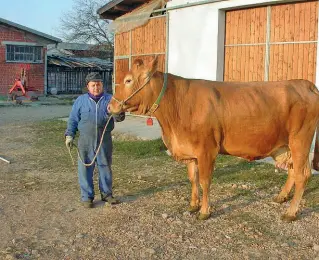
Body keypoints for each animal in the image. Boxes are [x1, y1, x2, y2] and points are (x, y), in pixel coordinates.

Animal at [109, 57, 319, 221]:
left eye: (128, 80)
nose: (111, 106)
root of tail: (304, 83)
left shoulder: (206, 149)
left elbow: (204, 181)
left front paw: (204, 211)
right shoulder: (190, 150)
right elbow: (192, 179)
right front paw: (193, 205)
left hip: (300, 140)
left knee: (302, 175)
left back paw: (290, 213)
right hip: (286, 145)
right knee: (293, 171)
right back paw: (281, 197)